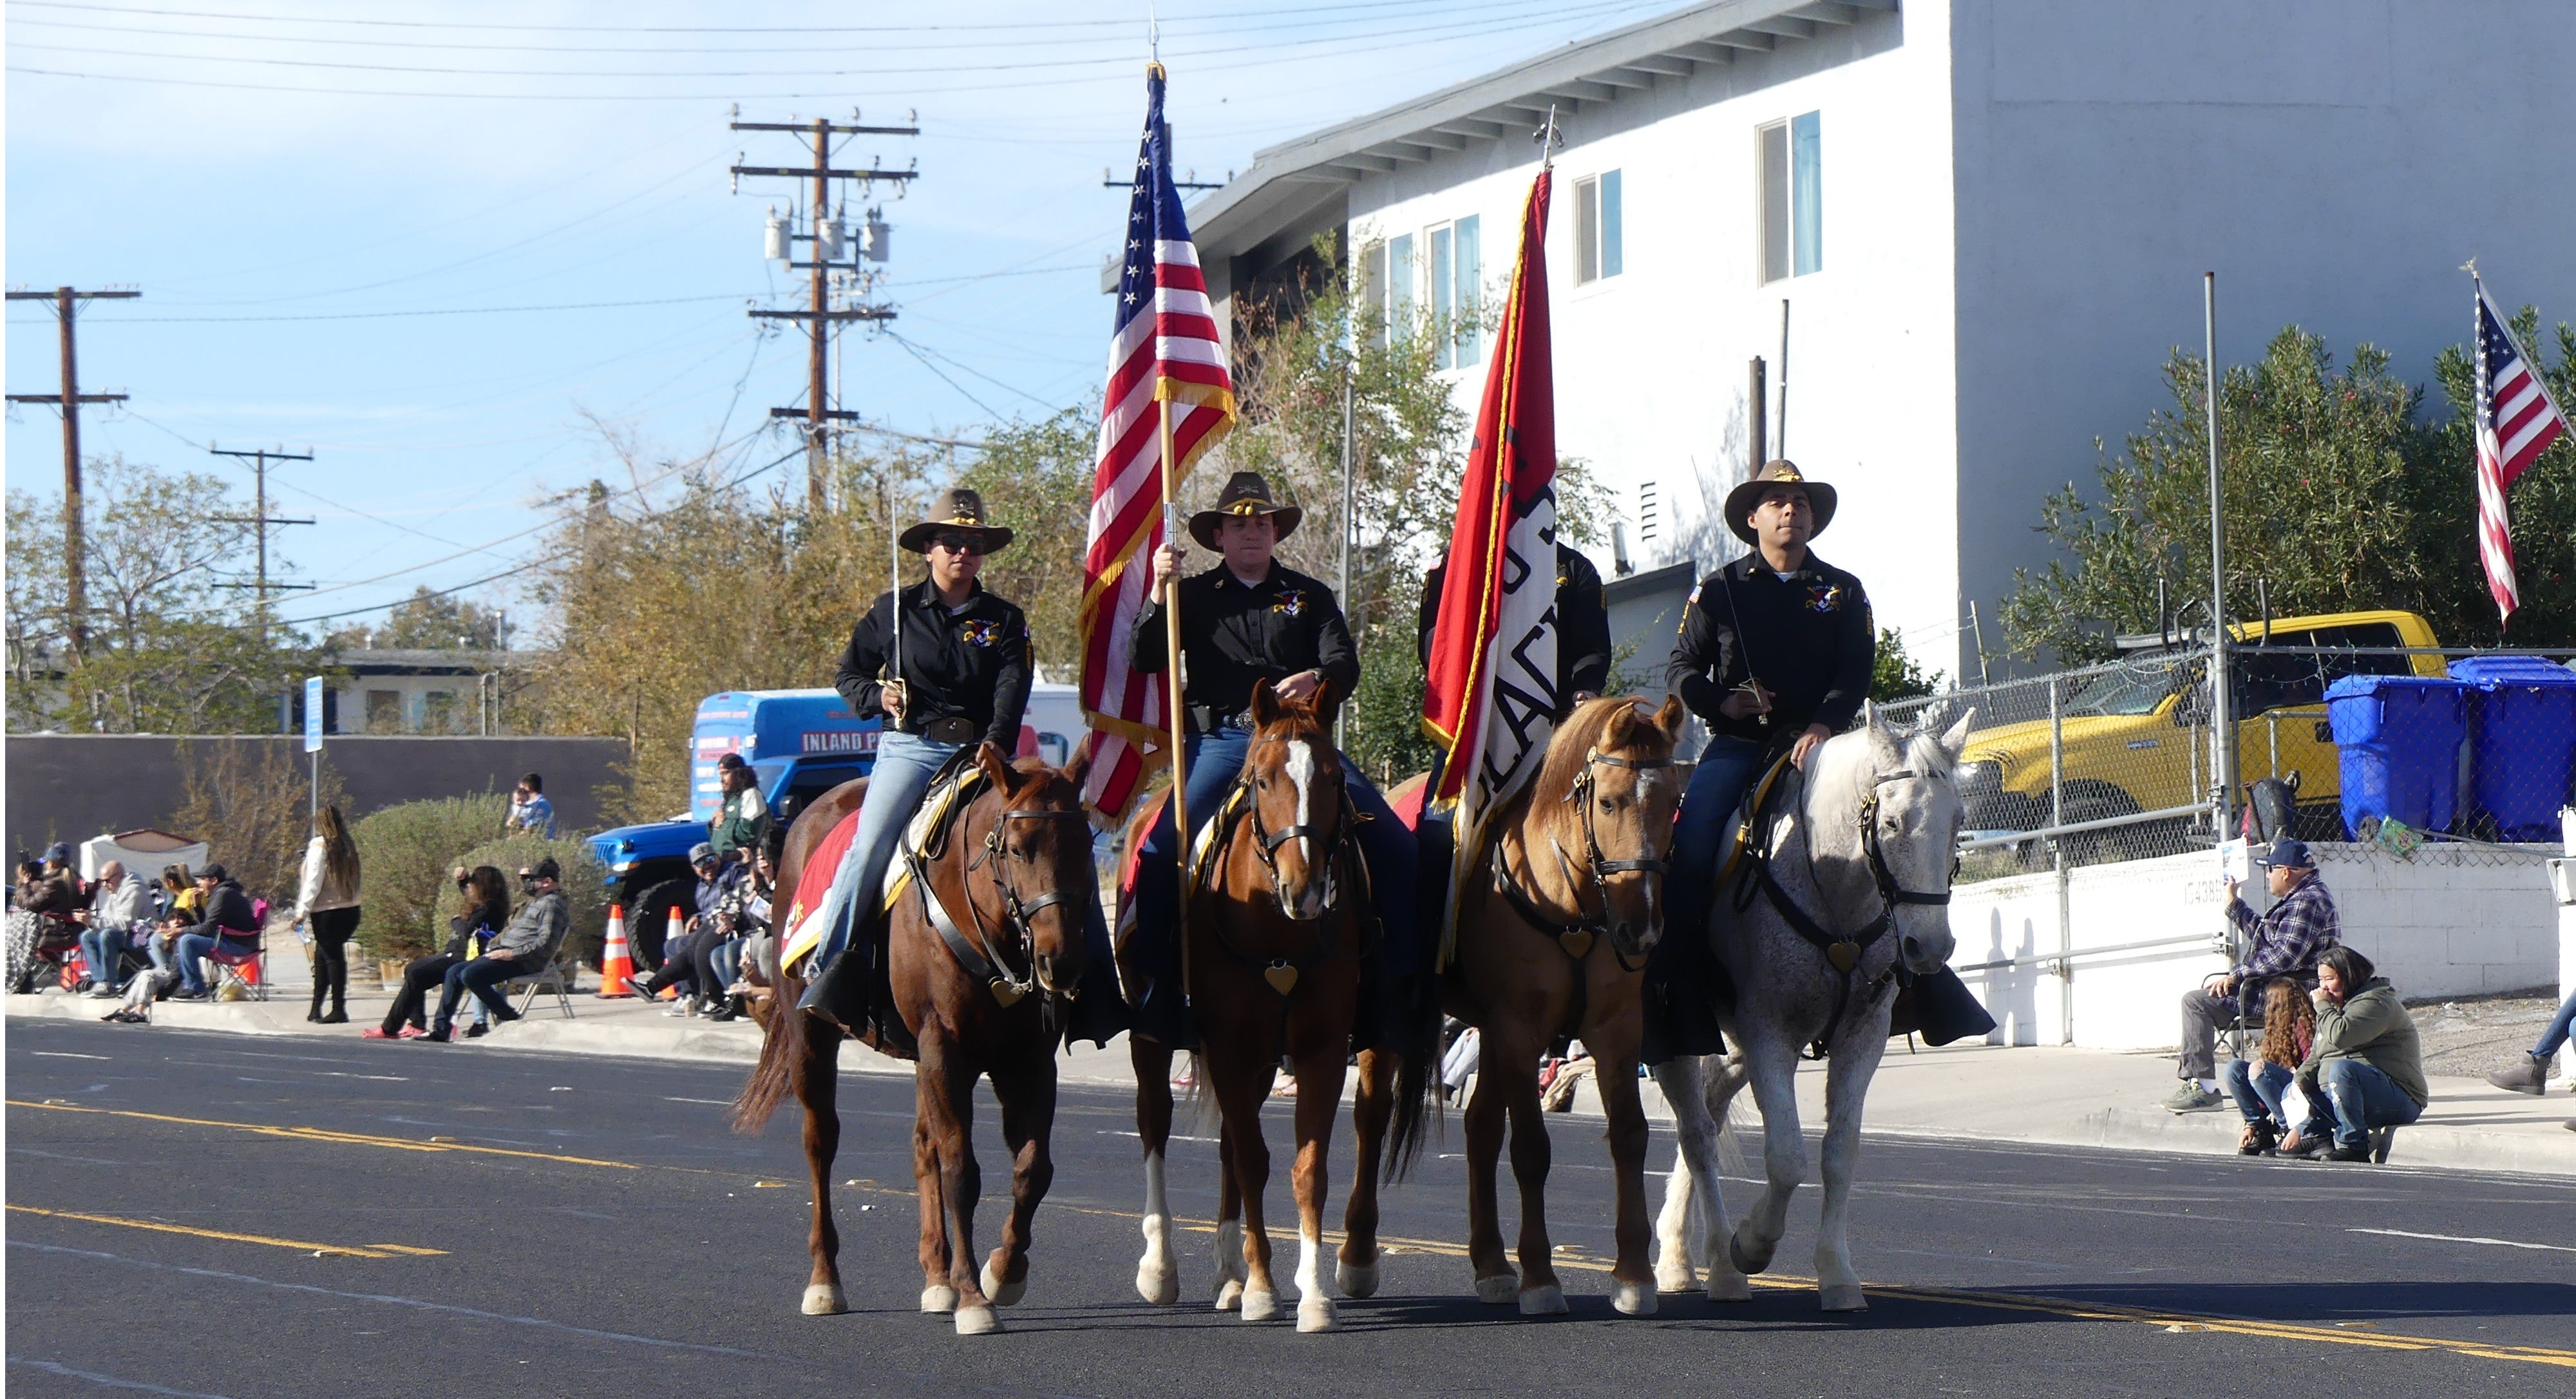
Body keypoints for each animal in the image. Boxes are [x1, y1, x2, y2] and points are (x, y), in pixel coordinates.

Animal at [732, 742, 1092, 1340]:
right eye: (1017, 849)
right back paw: (825, 1282)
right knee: (821, 1144)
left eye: (1086, 845)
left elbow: (1031, 1170)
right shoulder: (945, 1050)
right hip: (813, 1040)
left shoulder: (1028, 1060)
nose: (1060, 962)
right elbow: (961, 1173)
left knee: (923, 1147)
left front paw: (1003, 1272)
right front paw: (974, 1297)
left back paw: (936, 1278)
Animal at [1123, 680, 1443, 1340]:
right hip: (1155, 1040)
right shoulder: (1227, 1043)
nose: (1307, 889)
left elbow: (1305, 1168)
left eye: (1334, 777)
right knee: (1156, 1123)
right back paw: (1161, 1267)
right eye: (1265, 780)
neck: (1277, 928)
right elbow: (1253, 1160)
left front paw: (1313, 1292)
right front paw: (1264, 1290)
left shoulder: (1318, 1046)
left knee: (1331, 1127)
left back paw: (1237, 1272)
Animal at [1350, 696, 1690, 1319]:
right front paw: (1540, 1277)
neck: (1574, 903)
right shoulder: (1521, 1032)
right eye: (1609, 800)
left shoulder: (1613, 1033)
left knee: (1480, 1128)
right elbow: (1531, 1150)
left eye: (1673, 802)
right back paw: (1358, 1258)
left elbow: (1629, 1135)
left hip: (1489, 1033)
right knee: (1372, 1117)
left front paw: (1633, 1275)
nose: (1643, 931)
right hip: (1395, 1026)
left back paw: (1490, 1264)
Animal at [1649, 711, 1968, 1314]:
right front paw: (1751, 1244)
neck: (1835, 888)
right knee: (1696, 1133)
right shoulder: (1769, 1035)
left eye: (1959, 820)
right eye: (1892, 822)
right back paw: (1721, 1269)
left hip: (1732, 1049)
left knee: (1706, 1114)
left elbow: (1839, 1154)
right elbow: (1787, 1158)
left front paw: (1837, 1274)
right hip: (1680, 1036)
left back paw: (1681, 1257)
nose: (1930, 947)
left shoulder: (1863, 1037)